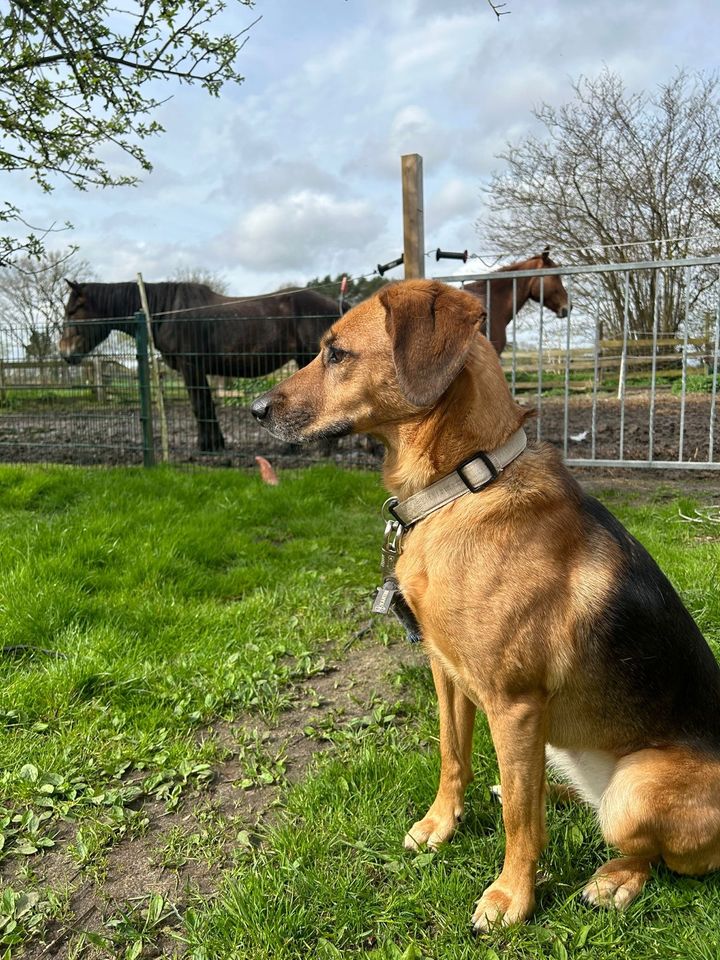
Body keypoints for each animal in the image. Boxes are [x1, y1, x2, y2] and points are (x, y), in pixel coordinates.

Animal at [57, 282, 338, 454]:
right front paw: (216, 444)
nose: (64, 352)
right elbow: (205, 405)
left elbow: (200, 405)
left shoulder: (190, 366)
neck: (166, 312)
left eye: (73, 310)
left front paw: (208, 445)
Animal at [250, 280, 720, 928]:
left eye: (336, 354)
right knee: (565, 794)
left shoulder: (514, 704)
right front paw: (440, 825)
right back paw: (559, 795)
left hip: (634, 787)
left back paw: (616, 879)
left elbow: (521, 821)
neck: (463, 484)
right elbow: (454, 756)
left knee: (647, 847)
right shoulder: (447, 672)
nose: (254, 410)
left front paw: (511, 897)